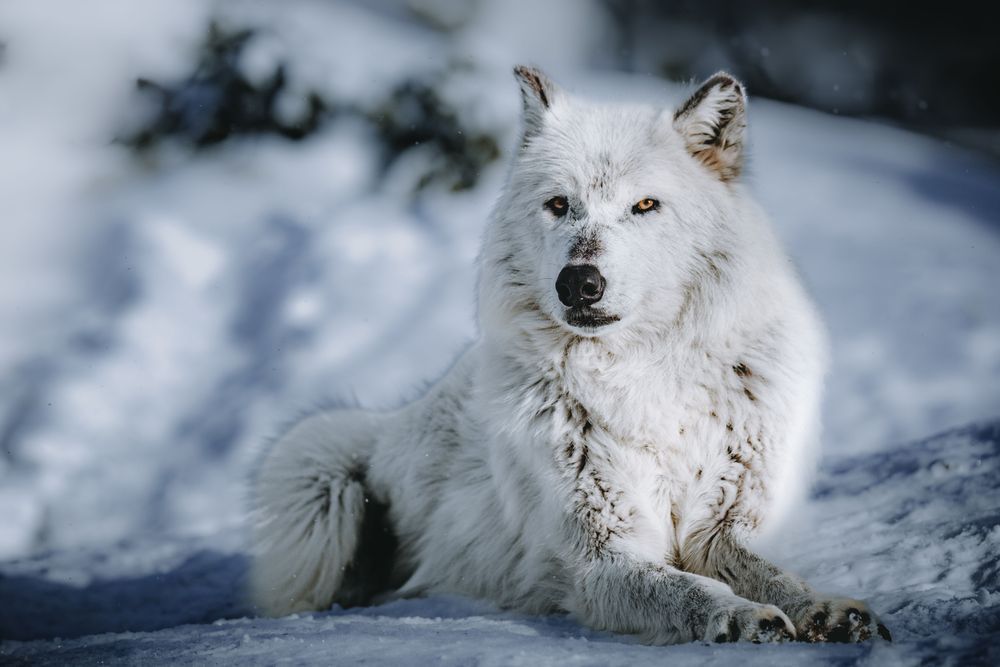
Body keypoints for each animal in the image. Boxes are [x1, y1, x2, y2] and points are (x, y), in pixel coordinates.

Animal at [249, 66, 891, 645]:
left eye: (645, 205)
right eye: (558, 205)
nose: (578, 282)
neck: (644, 377)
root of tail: (391, 425)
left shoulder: (722, 529)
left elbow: (774, 575)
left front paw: (825, 609)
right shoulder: (601, 559)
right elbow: (685, 589)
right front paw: (740, 616)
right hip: (320, 474)